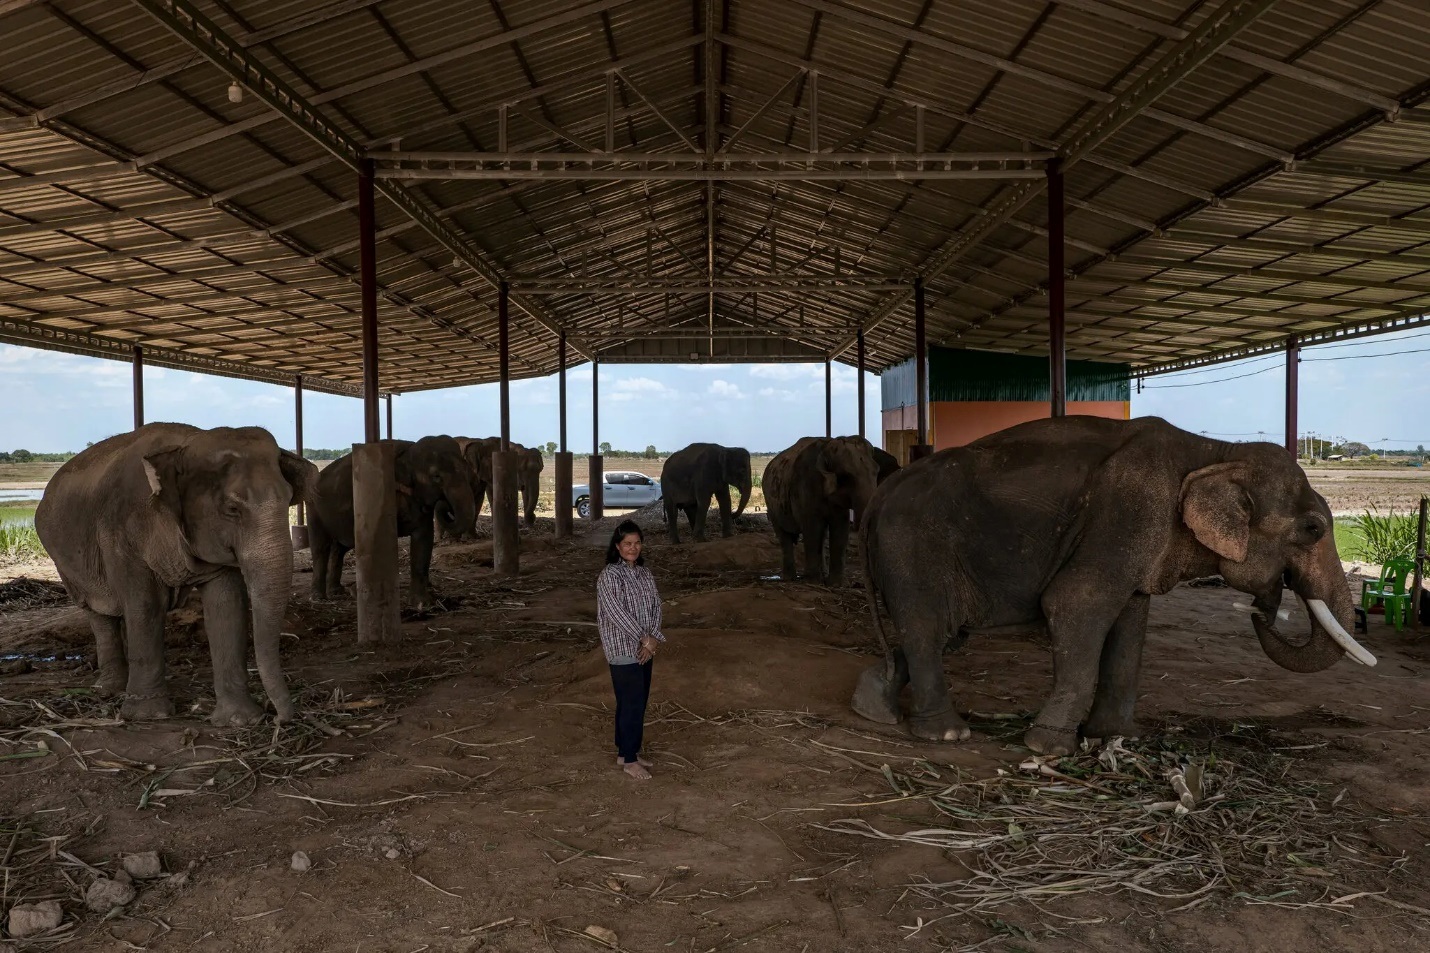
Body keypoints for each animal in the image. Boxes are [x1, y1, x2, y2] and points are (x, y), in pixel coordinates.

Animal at [35, 420, 316, 724]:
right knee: (99, 611)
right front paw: (149, 715)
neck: (187, 444)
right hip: (67, 563)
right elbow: (144, 604)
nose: (277, 718)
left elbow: (226, 605)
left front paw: (238, 720)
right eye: (232, 508)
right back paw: (110, 690)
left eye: (289, 499)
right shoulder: (121, 534)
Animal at [308, 435, 474, 603]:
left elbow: (424, 537)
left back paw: (337, 592)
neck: (409, 452)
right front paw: (366, 592)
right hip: (313, 507)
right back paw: (318, 597)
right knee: (320, 547)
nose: (444, 503)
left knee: (340, 548)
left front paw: (423, 602)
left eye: (467, 470)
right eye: (436, 477)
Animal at [760, 435, 880, 583]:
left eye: (877, 472)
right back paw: (791, 578)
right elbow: (811, 528)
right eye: (847, 476)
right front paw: (813, 581)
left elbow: (840, 529)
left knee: (821, 536)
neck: (828, 446)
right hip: (771, 504)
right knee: (784, 535)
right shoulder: (805, 487)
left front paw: (837, 584)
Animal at [846, 412, 1372, 755]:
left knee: (939, 636)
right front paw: (1048, 748)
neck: (1217, 453)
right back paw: (947, 735)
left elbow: (1130, 621)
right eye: (1313, 529)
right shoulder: (1132, 513)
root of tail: (880, 496)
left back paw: (872, 706)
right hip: (911, 546)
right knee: (928, 629)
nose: (1267, 603)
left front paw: (1116, 737)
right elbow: (1075, 603)